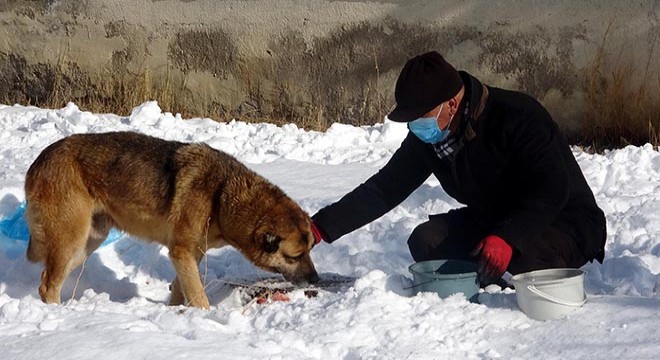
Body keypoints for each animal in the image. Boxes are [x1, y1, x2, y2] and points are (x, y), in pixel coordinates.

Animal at [27, 131, 320, 308]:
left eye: (310, 250)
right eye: (295, 256)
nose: (316, 280)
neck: (221, 195)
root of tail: (40, 159)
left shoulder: (191, 254)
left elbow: (182, 288)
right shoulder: (182, 252)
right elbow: (198, 294)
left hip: (86, 243)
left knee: (48, 279)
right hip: (71, 240)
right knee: (47, 284)